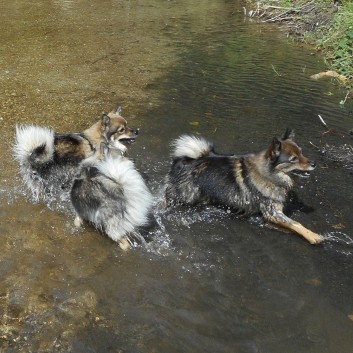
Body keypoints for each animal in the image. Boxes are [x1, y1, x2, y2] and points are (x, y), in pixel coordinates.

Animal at [165, 130, 322, 245]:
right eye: (293, 159)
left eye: (301, 153)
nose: (314, 163)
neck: (268, 174)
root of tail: (184, 160)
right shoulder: (272, 212)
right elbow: (296, 223)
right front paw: (313, 236)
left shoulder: (271, 213)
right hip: (184, 196)